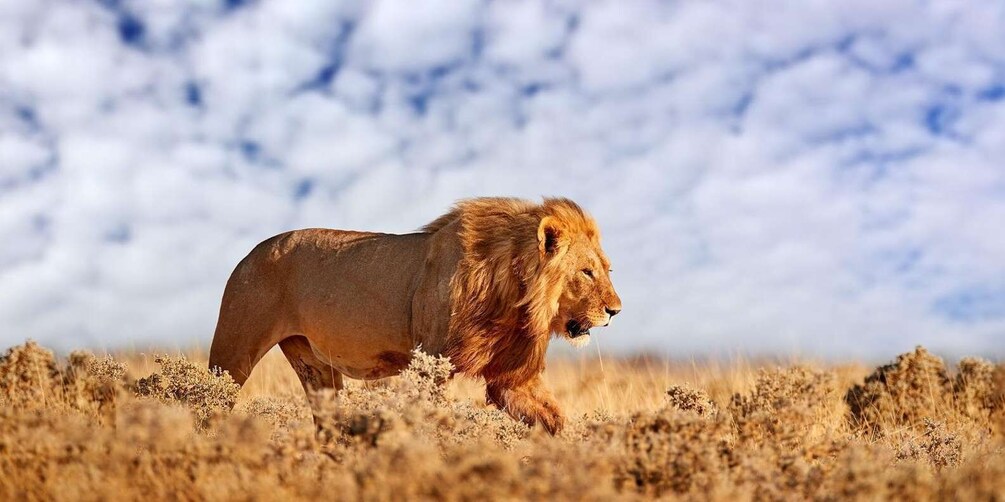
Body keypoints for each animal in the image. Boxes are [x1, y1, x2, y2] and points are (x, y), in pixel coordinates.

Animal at [208, 197, 622, 434]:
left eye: (607, 269)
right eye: (586, 272)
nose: (615, 311)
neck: (514, 296)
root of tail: (249, 254)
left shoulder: (512, 378)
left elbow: (555, 420)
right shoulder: (432, 365)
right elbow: (435, 422)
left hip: (315, 367)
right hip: (234, 350)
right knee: (208, 400)